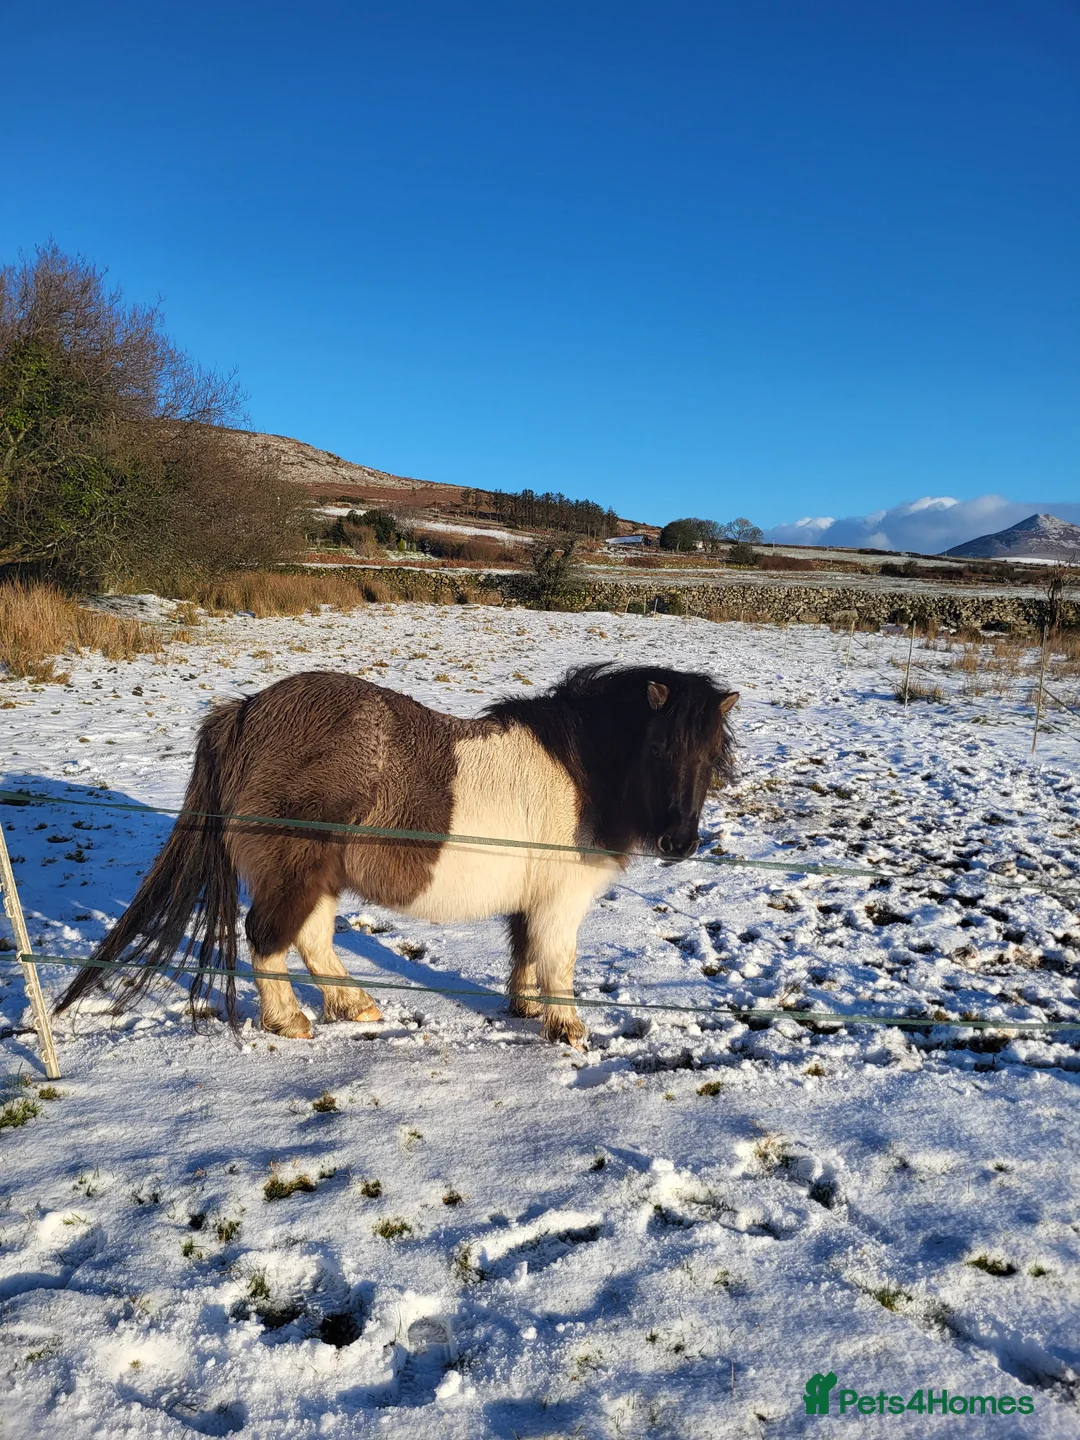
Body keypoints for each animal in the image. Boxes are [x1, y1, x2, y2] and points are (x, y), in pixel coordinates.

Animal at [57, 664, 737, 1047]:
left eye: (710, 758)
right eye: (658, 750)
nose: (680, 843)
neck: (580, 771)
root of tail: (247, 711)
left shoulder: (530, 900)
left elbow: (525, 954)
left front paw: (523, 1008)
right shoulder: (560, 901)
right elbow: (558, 961)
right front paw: (568, 1031)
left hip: (319, 874)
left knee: (311, 938)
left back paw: (354, 1006)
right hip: (296, 870)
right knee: (269, 938)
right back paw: (289, 1021)